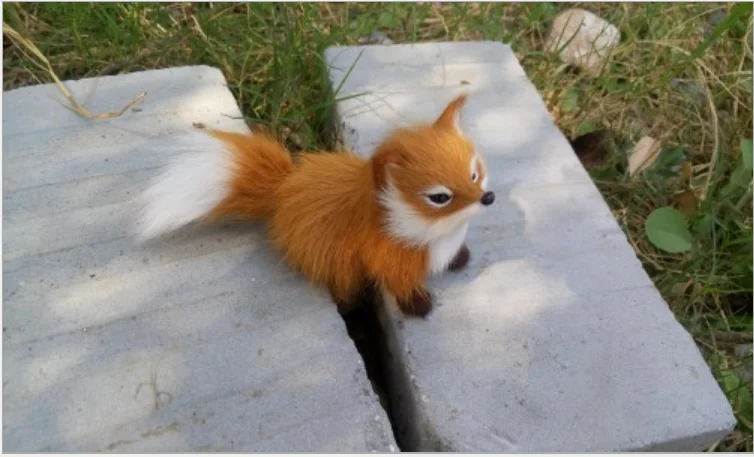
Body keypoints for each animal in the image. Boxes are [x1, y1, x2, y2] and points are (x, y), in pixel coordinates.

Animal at [137, 94, 494, 317]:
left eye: (474, 173)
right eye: (439, 198)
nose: (487, 198)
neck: (436, 230)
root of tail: (283, 188)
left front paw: (460, 258)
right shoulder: (389, 258)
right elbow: (401, 284)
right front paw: (419, 305)